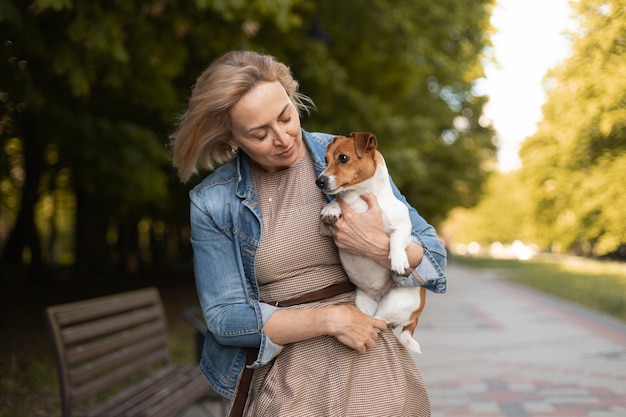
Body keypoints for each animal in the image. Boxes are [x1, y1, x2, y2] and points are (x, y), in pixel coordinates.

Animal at [314, 132, 426, 352]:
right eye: (325, 159)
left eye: (343, 158)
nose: (319, 181)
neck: (360, 197)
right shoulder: (330, 230)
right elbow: (338, 201)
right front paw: (332, 208)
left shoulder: (404, 228)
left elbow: (396, 239)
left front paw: (398, 260)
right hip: (364, 303)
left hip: (396, 301)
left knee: (379, 323)